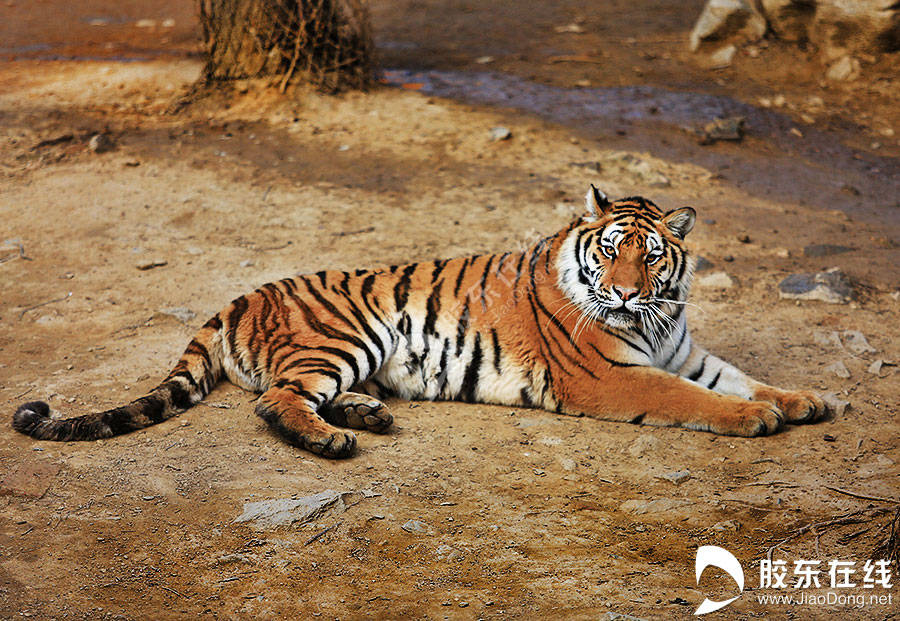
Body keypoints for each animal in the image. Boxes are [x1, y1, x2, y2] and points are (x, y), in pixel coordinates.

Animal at [13, 187, 828, 458]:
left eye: (652, 256)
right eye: (610, 251)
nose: (627, 295)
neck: (658, 320)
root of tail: (240, 297)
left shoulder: (685, 351)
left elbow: (742, 377)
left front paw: (805, 399)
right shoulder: (614, 376)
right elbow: (698, 399)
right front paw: (757, 418)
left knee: (291, 394)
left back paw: (366, 414)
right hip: (346, 333)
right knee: (272, 401)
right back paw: (335, 440)